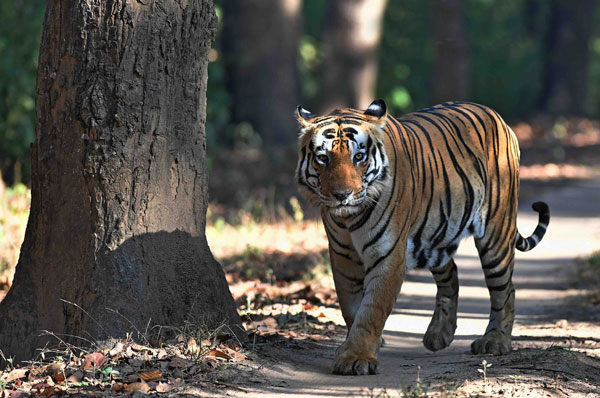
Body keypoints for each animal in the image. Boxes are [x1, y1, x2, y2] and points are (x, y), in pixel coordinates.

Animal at [296, 99, 548, 376]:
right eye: (323, 158)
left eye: (358, 157)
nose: (342, 195)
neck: (348, 219)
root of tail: (496, 115)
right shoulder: (343, 257)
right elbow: (351, 306)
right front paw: (357, 348)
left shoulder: (387, 254)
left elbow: (372, 309)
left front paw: (357, 357)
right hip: (434, 238)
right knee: (451, 275)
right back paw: (439, 334)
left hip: (496, 233)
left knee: (506, 289)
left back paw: (495, 341)